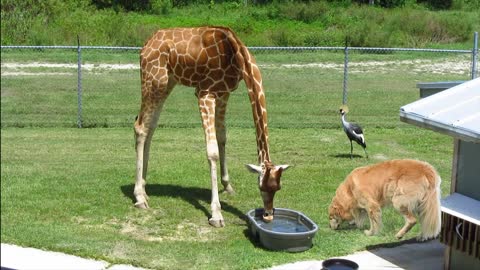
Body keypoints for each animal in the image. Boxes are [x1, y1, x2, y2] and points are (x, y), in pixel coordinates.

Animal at [133, 25, 288, 228]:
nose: (268, 215)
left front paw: (228, 186)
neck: (235, 54)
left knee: (150, 126)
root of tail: (145, 45)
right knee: (140, 126)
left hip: (168, 81)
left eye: (277, 187)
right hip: (154, 79)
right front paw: (216, 214)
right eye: (261, 186)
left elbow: (222, 137)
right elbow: (212, 151)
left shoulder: (224, 93)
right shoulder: (205, 93)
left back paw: (144, 189)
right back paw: (139, 197)